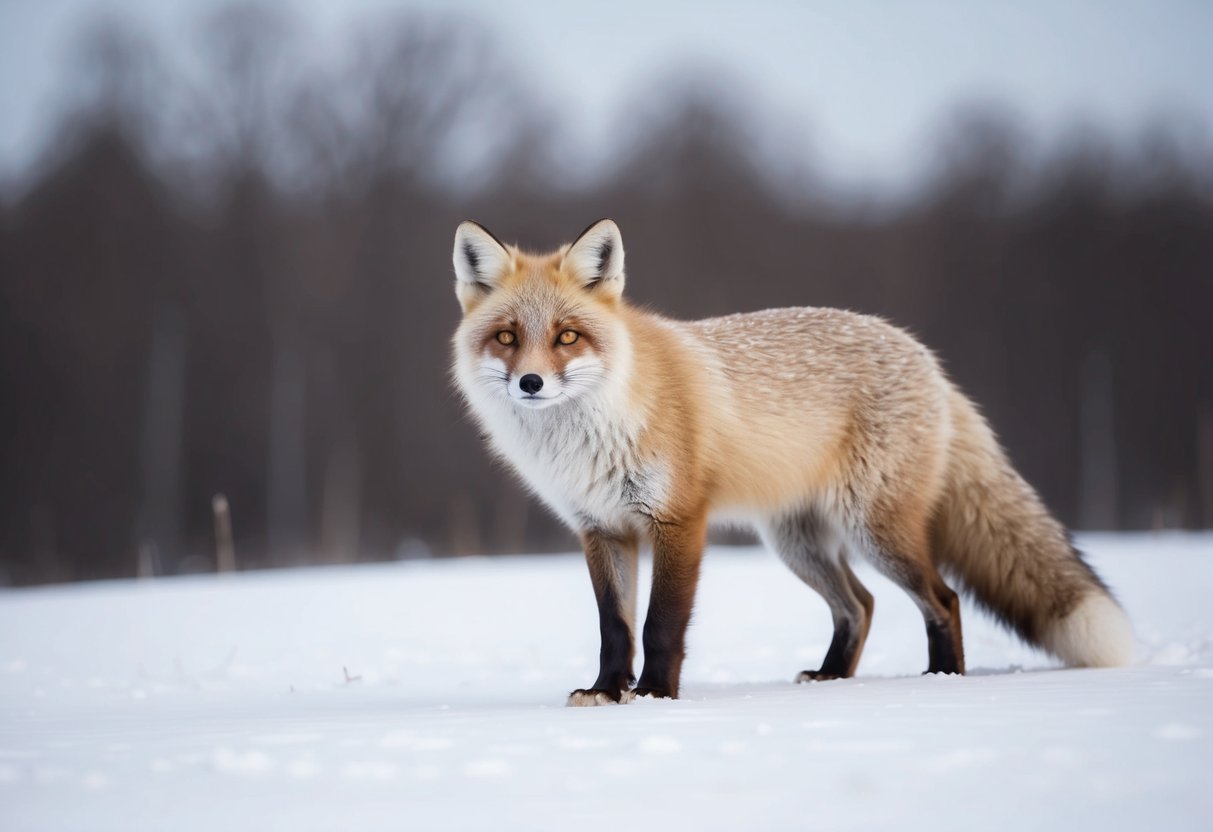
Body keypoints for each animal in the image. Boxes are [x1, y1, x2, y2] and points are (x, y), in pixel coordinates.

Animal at [450, 218, 1135, 706]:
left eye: (567, 336)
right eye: (507, 337)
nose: (531, 383)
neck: (595, 431)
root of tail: (925, 357)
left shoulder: (678, 520)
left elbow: (660, 625)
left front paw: (655, 697)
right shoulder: (601, 529)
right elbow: (613, 627)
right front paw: (607, 692)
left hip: (876, 530)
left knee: (941, 599)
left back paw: (941, 679)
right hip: (797, 542)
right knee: (860, 604)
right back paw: (833, 679)